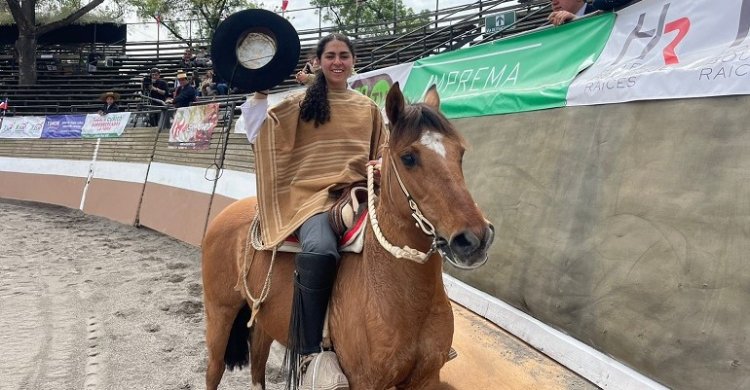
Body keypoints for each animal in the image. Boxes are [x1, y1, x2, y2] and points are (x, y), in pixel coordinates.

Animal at [201, 84, 494, 388]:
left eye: (460, 153)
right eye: (409, 158)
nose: (474, 239)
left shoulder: (425, 378)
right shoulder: (364, 381)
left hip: (264, 321)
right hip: (220, 313)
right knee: (214, 370)